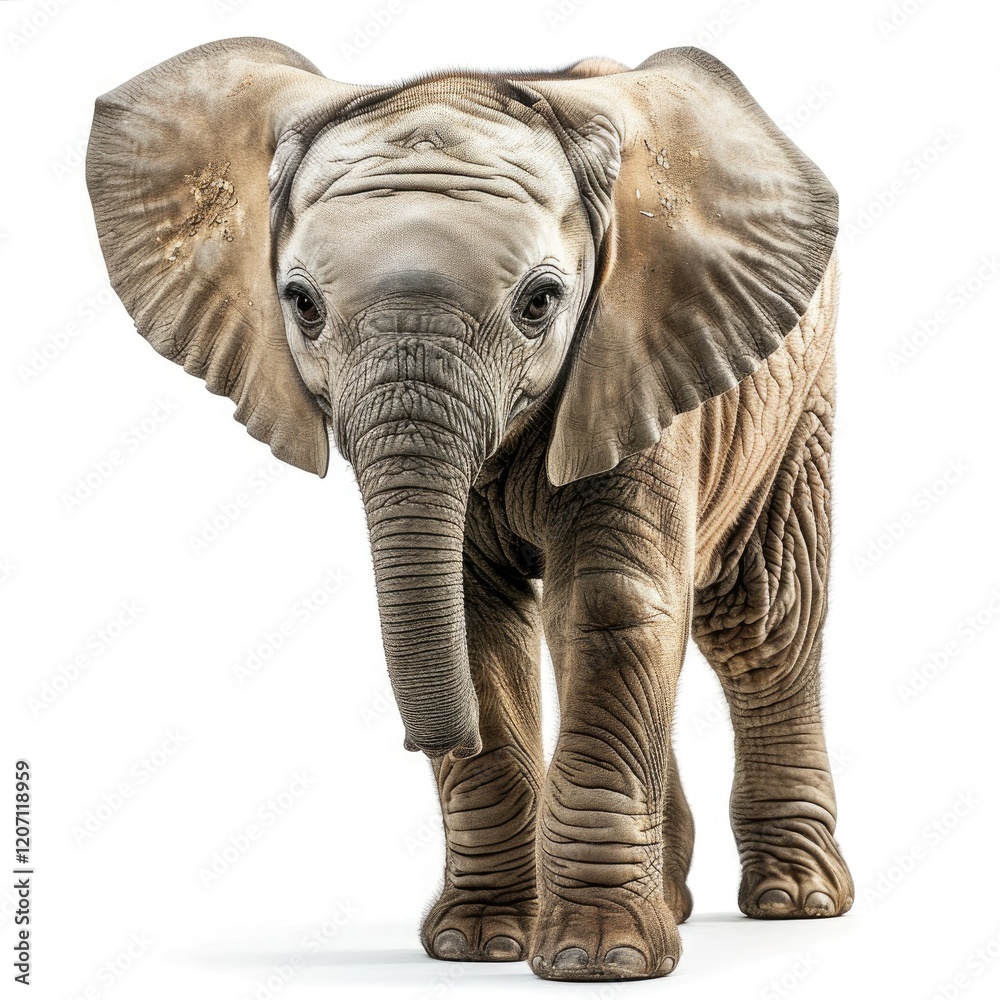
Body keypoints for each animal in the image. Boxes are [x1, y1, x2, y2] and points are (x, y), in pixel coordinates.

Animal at [86, 36, 853, 981]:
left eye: (540, 303)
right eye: (300, 304)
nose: (426, 741)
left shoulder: (636, 358)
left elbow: (610, 606)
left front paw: (598, 961)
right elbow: (476, 619)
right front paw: (478, 945)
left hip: (798, 394)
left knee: (760, 621)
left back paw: (796, 902)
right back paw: (674, 898)